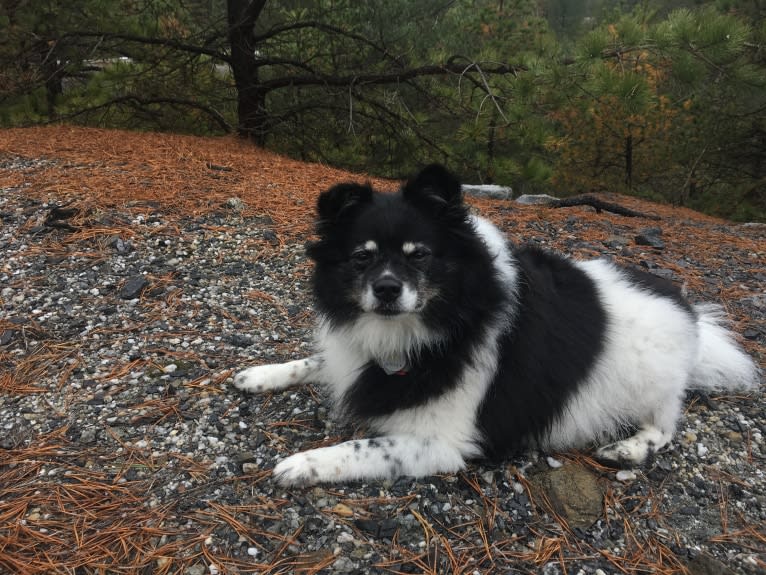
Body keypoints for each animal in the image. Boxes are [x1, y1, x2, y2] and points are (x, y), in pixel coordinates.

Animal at [234, 165, 760, 486]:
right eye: (362, 258)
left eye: (419, 256)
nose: (386, 290)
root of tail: (686, 307)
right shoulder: (353, 354)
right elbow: (315, 361)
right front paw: (261, 374)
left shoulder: (440, 442)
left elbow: (360, 447)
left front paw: (304, 463)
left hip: (652, 383)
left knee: (667, 423)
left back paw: (630, 449)